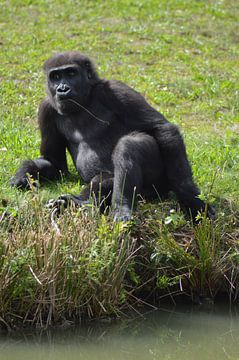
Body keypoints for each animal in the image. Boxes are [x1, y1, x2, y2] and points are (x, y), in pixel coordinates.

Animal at [11, 49, 214, 221]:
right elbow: (53, 162)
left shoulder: (116, 89)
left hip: (159, 187)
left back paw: (119, 206)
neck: (87, 98)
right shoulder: (46, 108)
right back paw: (79, 202)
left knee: (130, 145)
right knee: (105, 179)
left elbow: (161, 128)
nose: (62, 88)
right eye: (55, 76)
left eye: (71, 73)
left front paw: (189, 197)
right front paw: (24, 173)